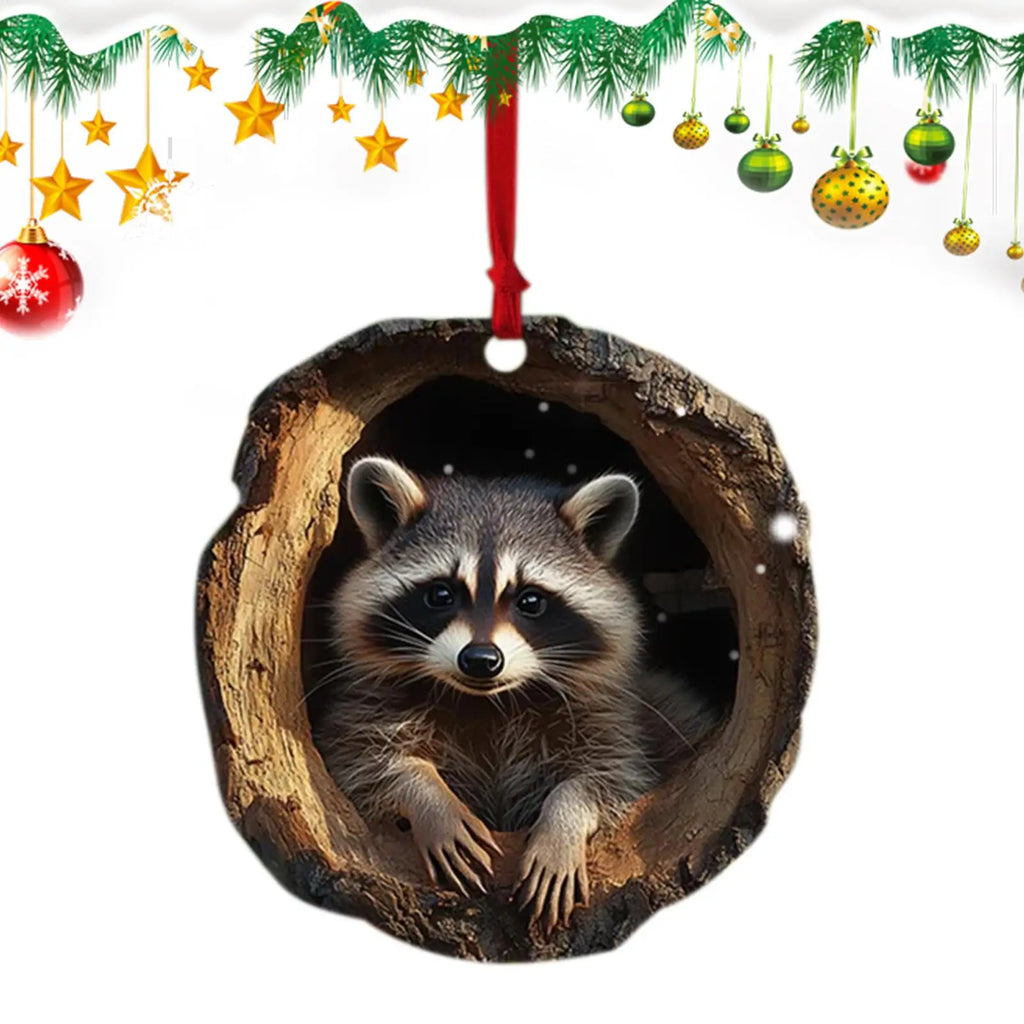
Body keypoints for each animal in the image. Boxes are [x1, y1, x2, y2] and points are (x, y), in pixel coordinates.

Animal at [312, 456, 717, 931]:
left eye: (530, 600)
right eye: (441, 594)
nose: (481, 659)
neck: (488, 701)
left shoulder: (609, 717)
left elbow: (613, 778)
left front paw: (563, 822)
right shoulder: (367, 706)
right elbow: (361, 760)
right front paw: (428, 797)